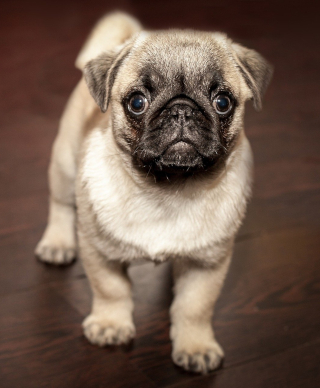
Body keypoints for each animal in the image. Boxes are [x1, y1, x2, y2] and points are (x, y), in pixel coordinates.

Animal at [35, 12, 272, 374]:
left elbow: (194, 307)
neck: (167, 189)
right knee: (60, 204)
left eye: (223, 102)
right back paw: (57, 244)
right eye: (137, 102)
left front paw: (195, 346)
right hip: (64, 165)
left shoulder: (207, 264)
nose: (182, 110)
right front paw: (110, 325)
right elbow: (111, 289)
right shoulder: (99, 251)